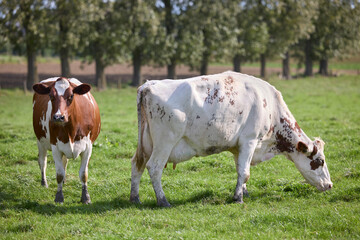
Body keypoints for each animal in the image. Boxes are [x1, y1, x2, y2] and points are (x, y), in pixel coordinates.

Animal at [131, 71, 334, 206]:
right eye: (320, 161)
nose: (330, 185)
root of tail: (148, 85)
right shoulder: (250, 140)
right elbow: (245, 172)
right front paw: (238, 198)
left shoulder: (239, 147)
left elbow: (240, 170)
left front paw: (244, 192)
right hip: (165, 143)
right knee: (154, 168)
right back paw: (163, 201)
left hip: (145, 145)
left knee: (137, 165)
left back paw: (135, 198)